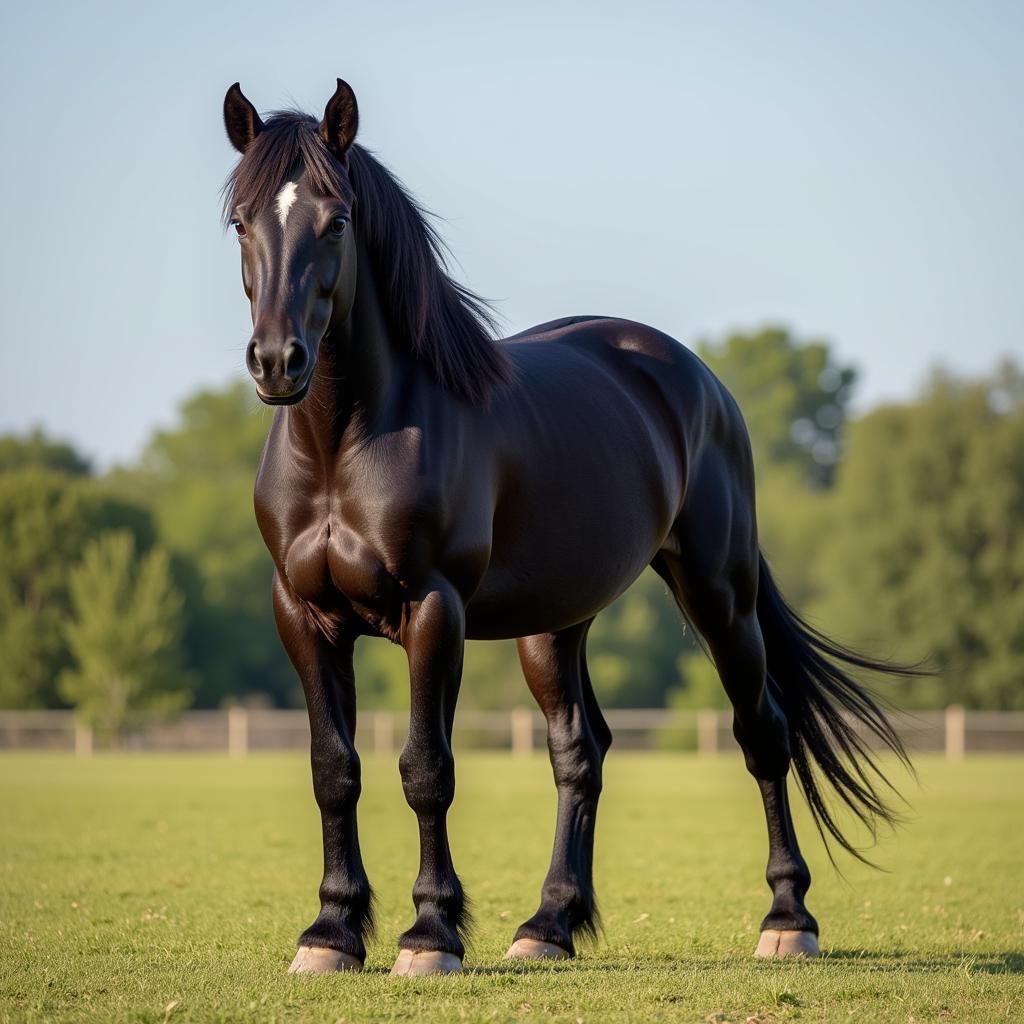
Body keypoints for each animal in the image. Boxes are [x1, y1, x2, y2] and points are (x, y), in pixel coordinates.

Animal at [220, 77, 909, 974]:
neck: (347, 444)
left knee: (763, 732)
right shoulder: (303, 614)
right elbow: (333, 768)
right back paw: (547, 925)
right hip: (554, 623)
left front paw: (430, 933)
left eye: (336, 220)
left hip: (719, 595)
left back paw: (787, 919)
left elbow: (426, 768)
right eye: (241, 221)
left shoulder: (432, 609)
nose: (278, 362)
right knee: (580, 753)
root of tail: (698, 379)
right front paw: (331, 932)